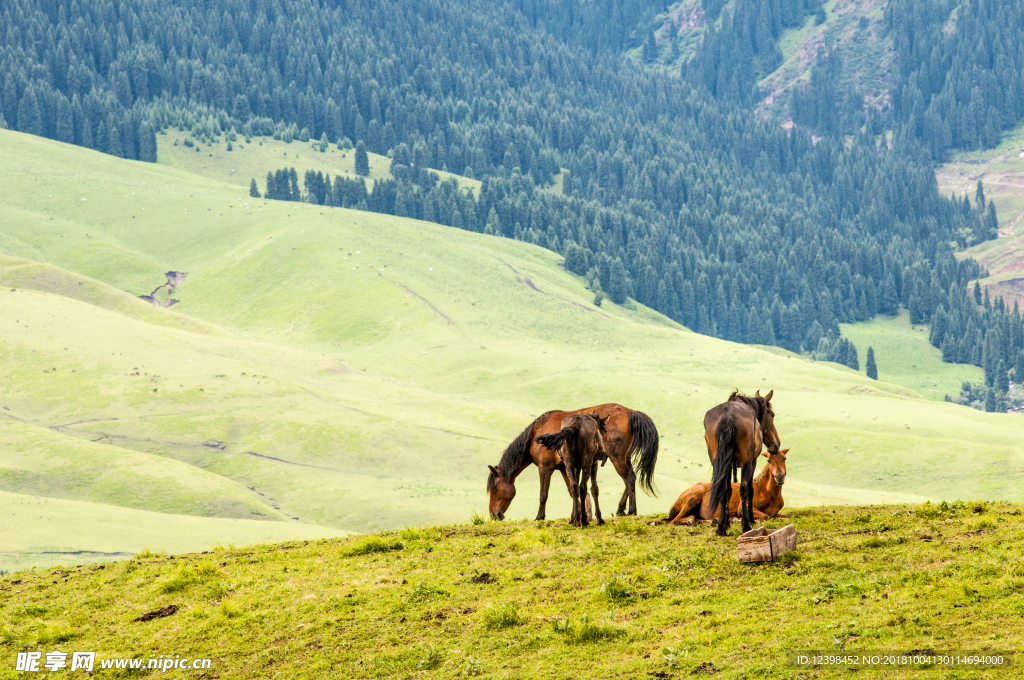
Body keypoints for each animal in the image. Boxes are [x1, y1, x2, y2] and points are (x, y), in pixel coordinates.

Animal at [485, 403, 659, 520]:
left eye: (494, 488)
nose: (494, 515)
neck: (536, 434)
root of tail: (631, 413)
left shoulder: (545, 467)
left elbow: (543, 494)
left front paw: (539, 517)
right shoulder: (564, 468)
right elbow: (572, 490)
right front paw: (580, 515)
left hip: (617, 458)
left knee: (629, 479)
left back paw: (631, 511)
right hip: (623, 458)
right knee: (631, 478)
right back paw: (620, 509)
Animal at [704, 391, 782, 532]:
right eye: (772, 415)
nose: (776, 444)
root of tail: (727, 415)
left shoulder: (728, 465)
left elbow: (728, 490)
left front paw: (725, 523)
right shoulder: (752, 462)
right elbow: (750, 490)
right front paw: (750, 518)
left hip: (718, 463)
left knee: (723, 489)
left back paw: (721, 528)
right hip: (746, 462)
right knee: (744, 488)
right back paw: (746, 525)